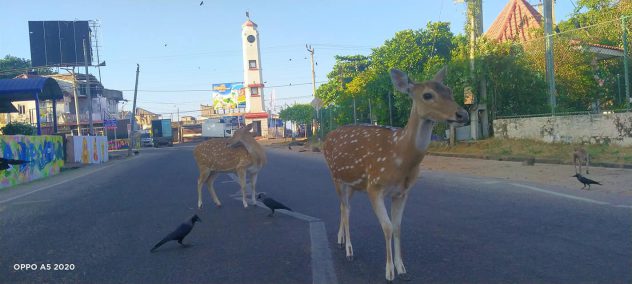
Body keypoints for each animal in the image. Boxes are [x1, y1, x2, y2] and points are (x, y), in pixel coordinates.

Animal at [326, 67, 470, 282]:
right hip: (335, 175)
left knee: (343, 207)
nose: (462, 114)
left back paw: (341, 240)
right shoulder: (374, 186)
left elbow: (398, 227)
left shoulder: (402, 192)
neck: (399, 157)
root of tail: (327, 136)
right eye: (427, 95)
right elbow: (387, 227)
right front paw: (389, 271)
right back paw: (349, 250)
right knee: (347, 208)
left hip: (351, 183)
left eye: (449, 90)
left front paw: (401, 267)